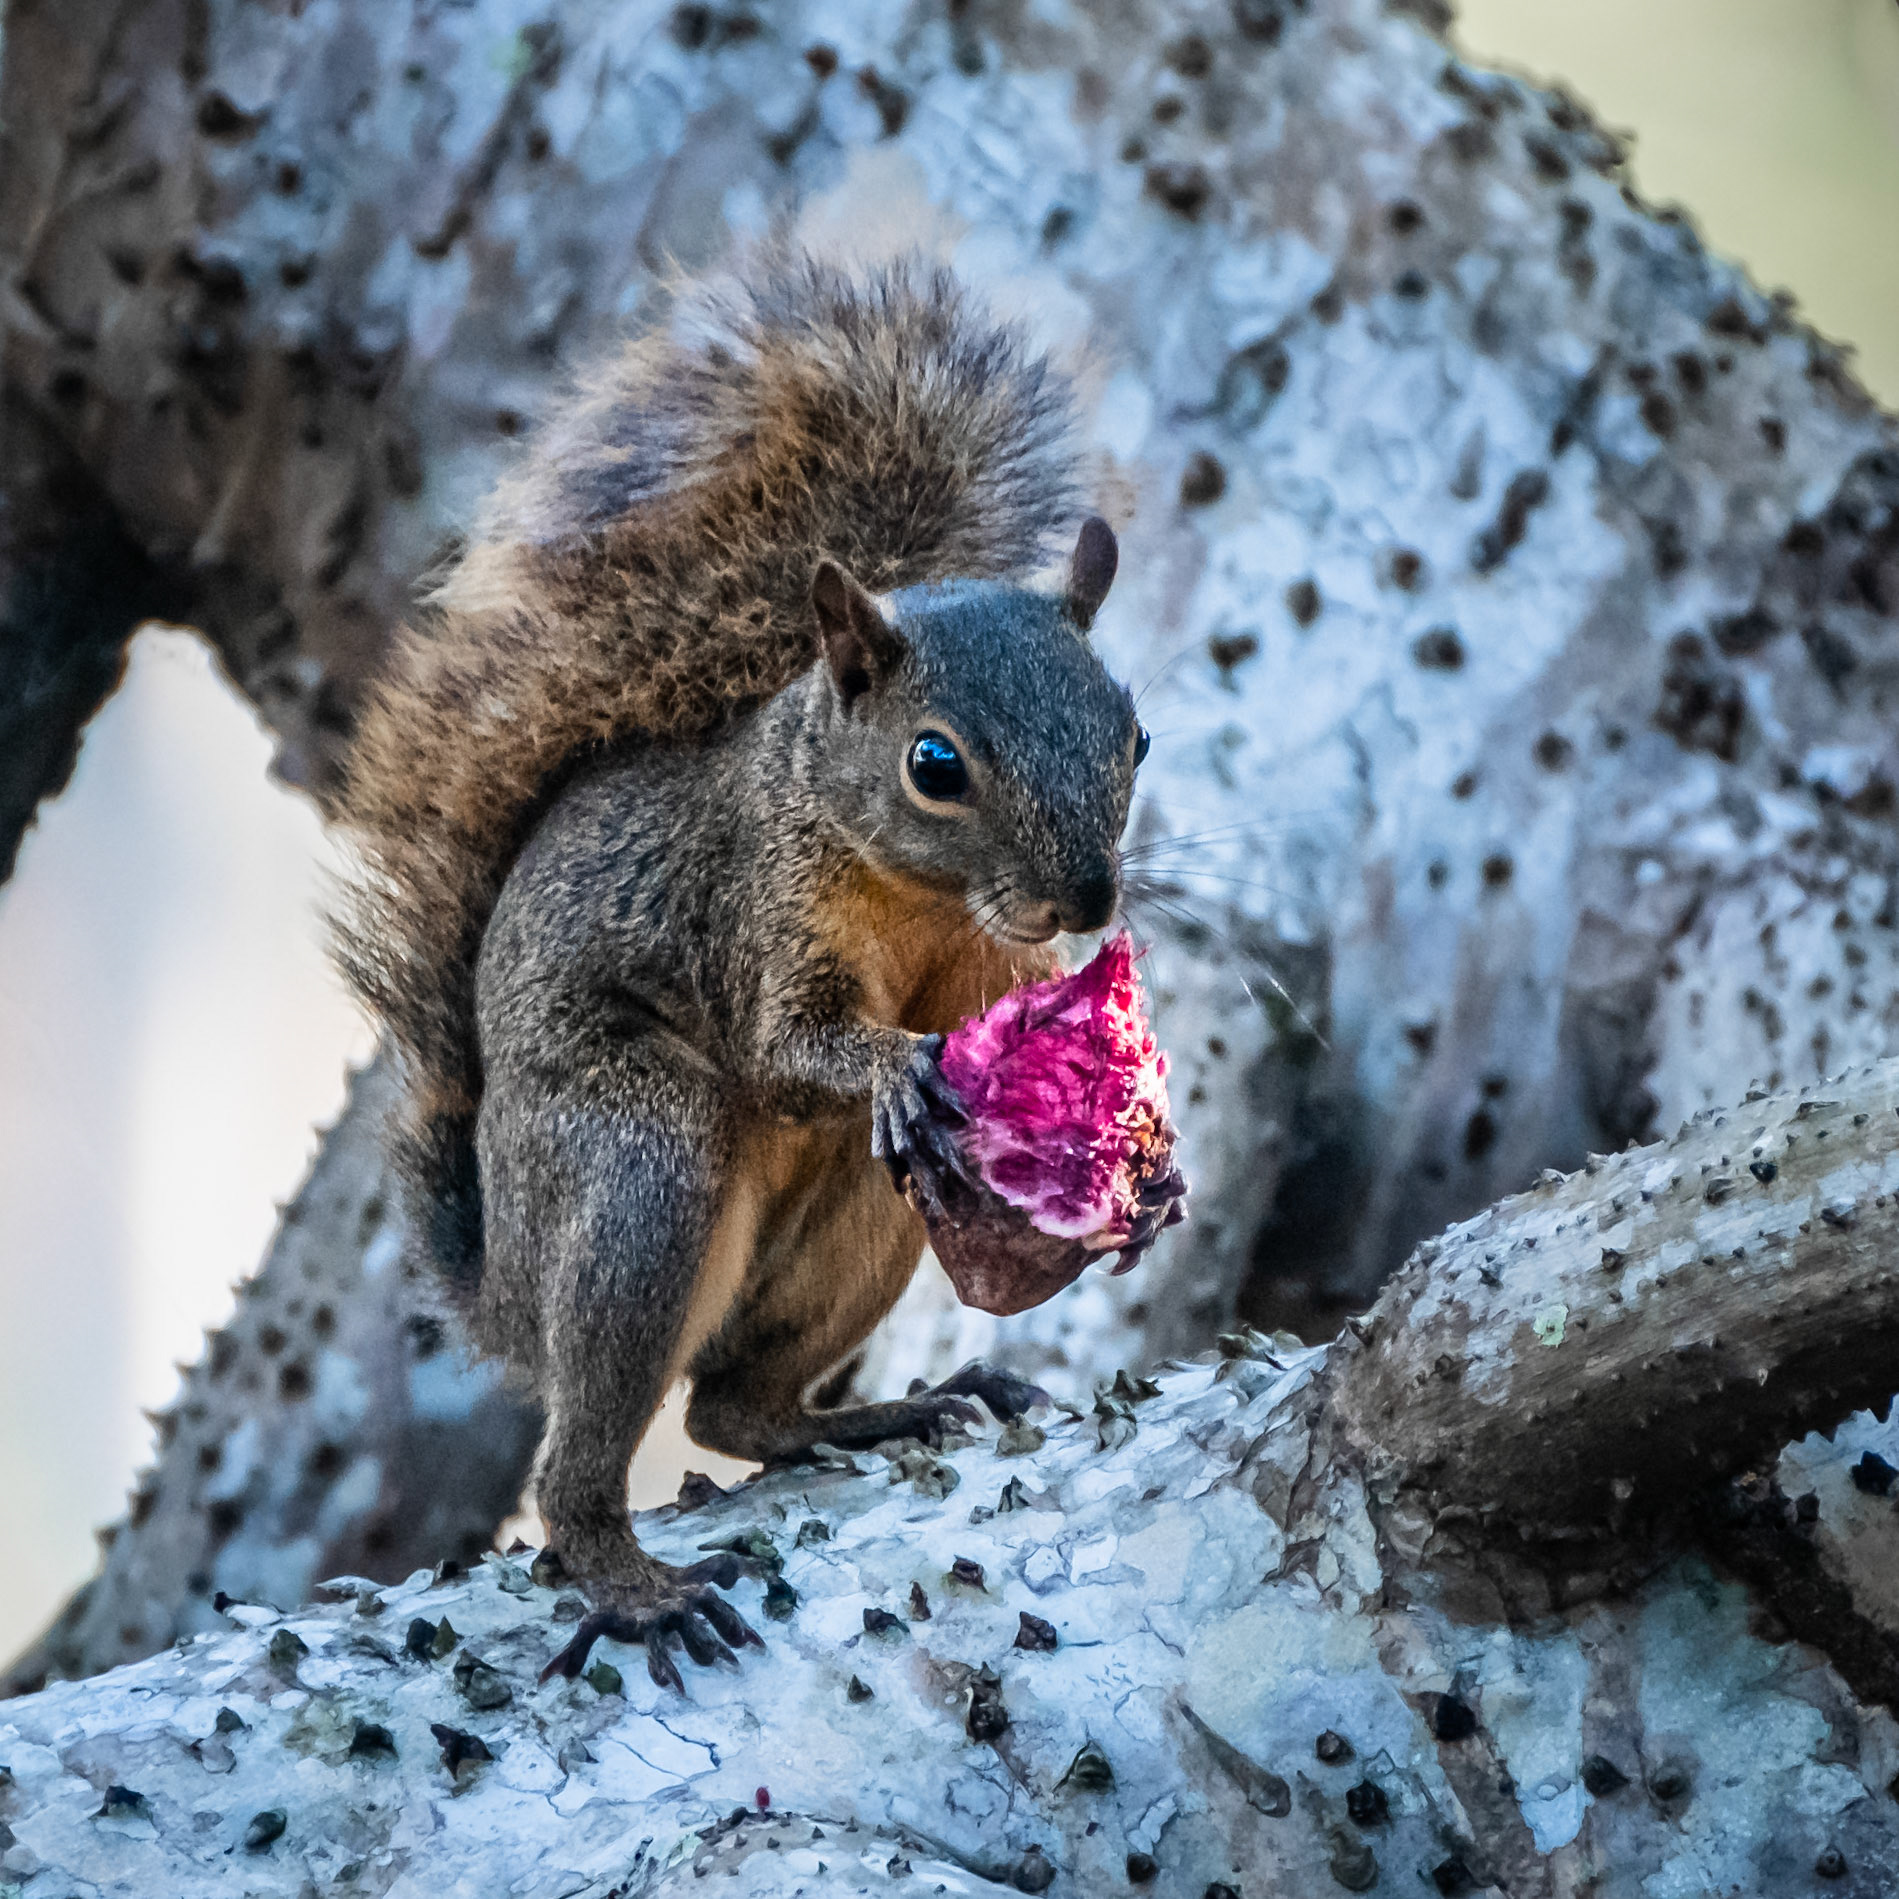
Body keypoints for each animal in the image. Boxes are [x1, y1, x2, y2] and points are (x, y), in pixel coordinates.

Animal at [334, 254, 1167, 1687]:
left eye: (1138, 736)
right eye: (935, 763)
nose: (1087, 899)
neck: (919, 901)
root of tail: (506, 1294)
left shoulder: (983, 968)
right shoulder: (752, 912)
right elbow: (785, 1045)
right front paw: (884, 1064)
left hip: (868, 1224)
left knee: (736, 1409)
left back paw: (871, 1415)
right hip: (636, 1167)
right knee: (586, 1460)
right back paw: (631, 1585)